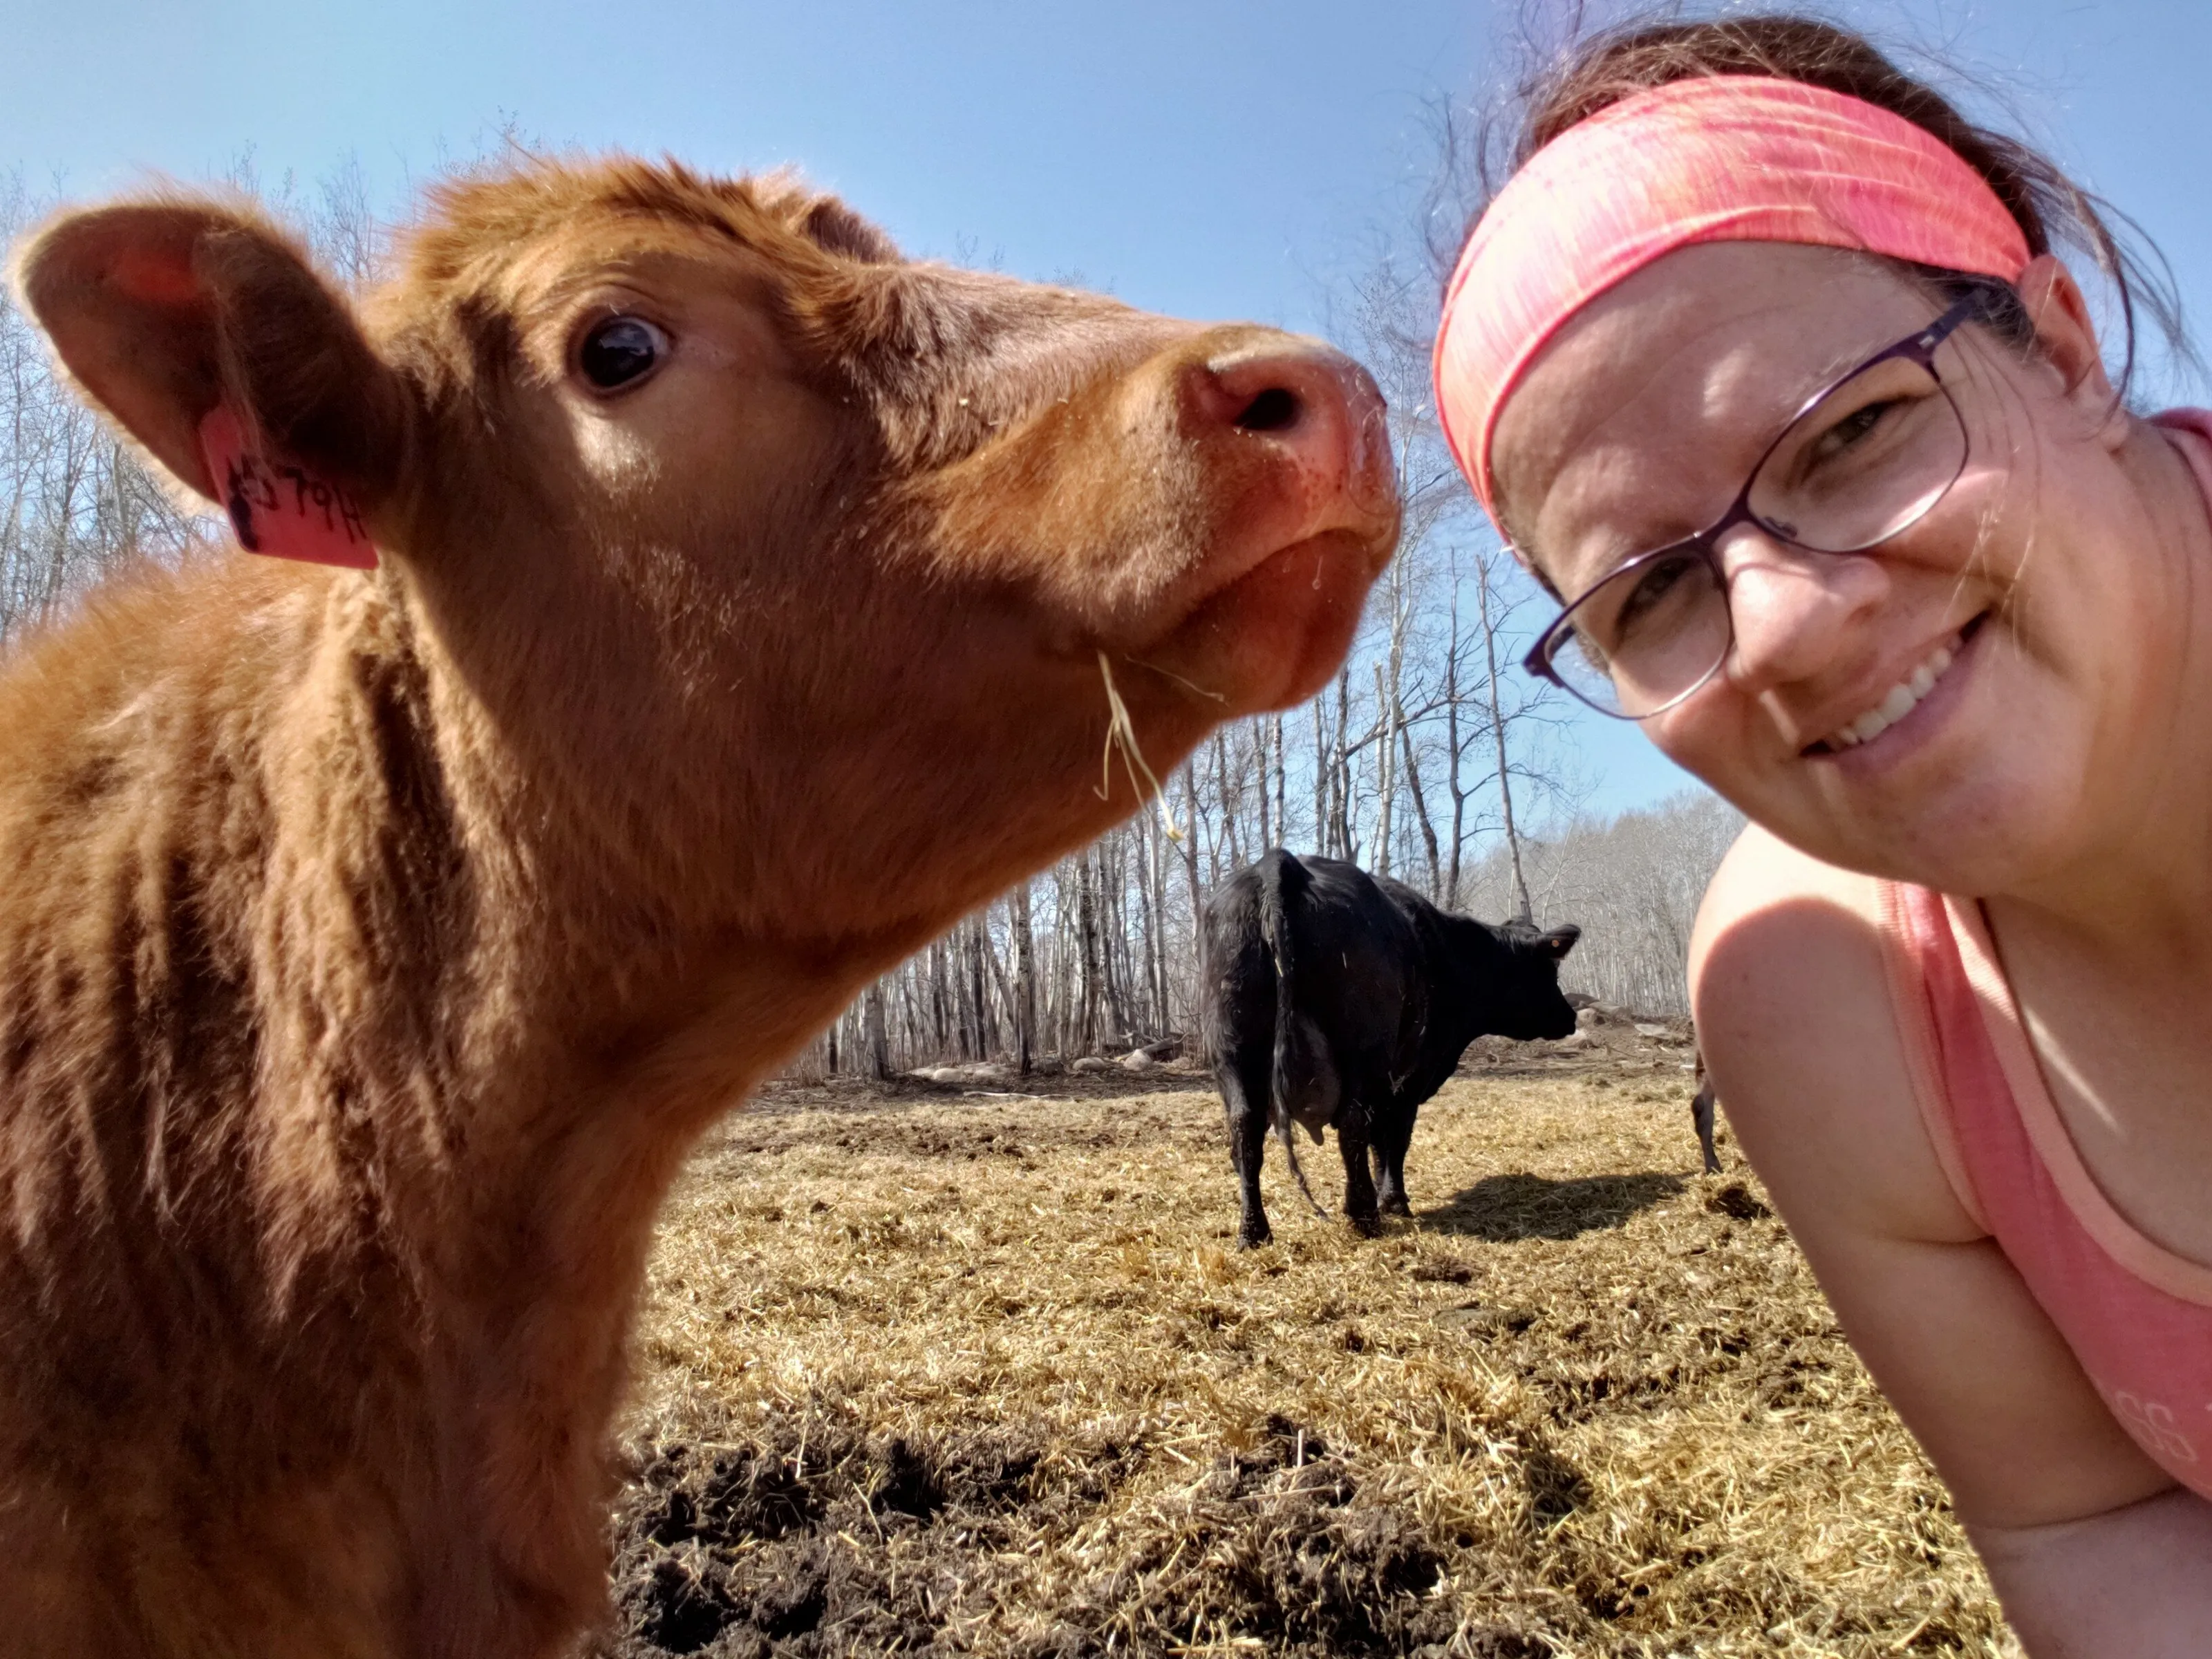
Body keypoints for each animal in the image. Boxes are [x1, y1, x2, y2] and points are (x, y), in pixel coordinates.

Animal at [1200, 849, 1579, 1248]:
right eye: (1548, 970)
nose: (1570, 1016)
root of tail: (1280, 861)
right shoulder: (1409, 1079)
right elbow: (1393, 1139)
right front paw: (1394, 1202)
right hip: (1362, 1049)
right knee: (1353, 1125)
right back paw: (1365, 1215)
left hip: (1232, 1049)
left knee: (1246, 1129)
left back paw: (1254, 1232)